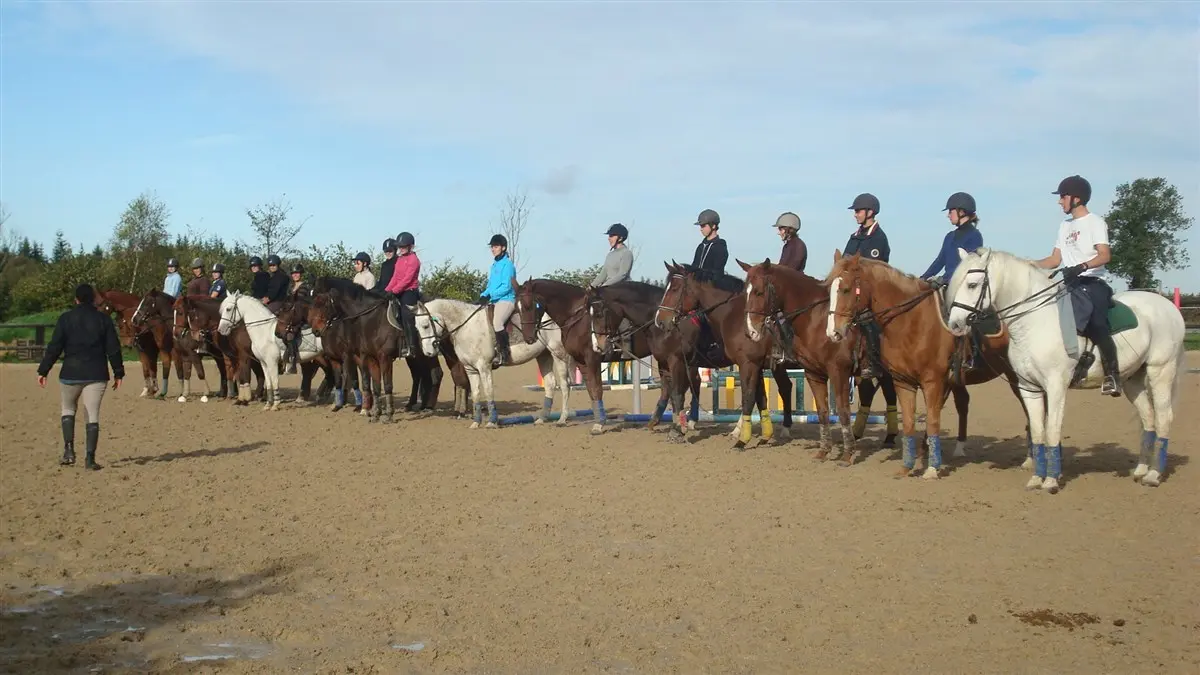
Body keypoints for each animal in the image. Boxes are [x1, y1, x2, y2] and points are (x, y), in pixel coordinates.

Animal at [415, 297, 573, 427]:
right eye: (416, 328)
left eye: (425, 325)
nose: (428, 352)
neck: (467, 327)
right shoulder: (470, 369)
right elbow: (476, 393)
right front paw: (476, 422)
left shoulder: (484, 367)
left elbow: (488, 391)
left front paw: (492, 421)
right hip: (543, 355)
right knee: (550, 384)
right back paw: (542, 419)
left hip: (558, 354)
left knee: (564, 385)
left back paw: (562, 419)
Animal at [652, 263, 792, 446]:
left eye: (675, 288)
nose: (660, 320)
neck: (733, 315)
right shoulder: (754, 365)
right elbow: (759, 397)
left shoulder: (678, 361)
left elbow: (677, 393)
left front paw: (678, 429)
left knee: (785, 388)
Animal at [825, 251, 1032, 478]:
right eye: (829, 290)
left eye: (846, 289)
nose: (833, 332)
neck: (912, 322)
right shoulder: (903, 382)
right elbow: (909, 423)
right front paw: (906, 467)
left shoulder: (932, 382)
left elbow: (933, 421)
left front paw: (932, 469)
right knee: (963, 404)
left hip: (1017, 378)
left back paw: (1030, 459)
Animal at [945, 247, 1190, 487]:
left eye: (972, 284)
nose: (954, 325)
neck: (1036, 321)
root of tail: (1168, 306)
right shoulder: (1029, 388)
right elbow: (1038, 431)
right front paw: (1037, 478)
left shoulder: (1056, 386)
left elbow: (1052, 430)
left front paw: (1051, 480)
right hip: (1132, 380)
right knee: (1148, 418)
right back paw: (1140, 471)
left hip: (1160, 371)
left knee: (1163, 417)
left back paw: (1154, 475)